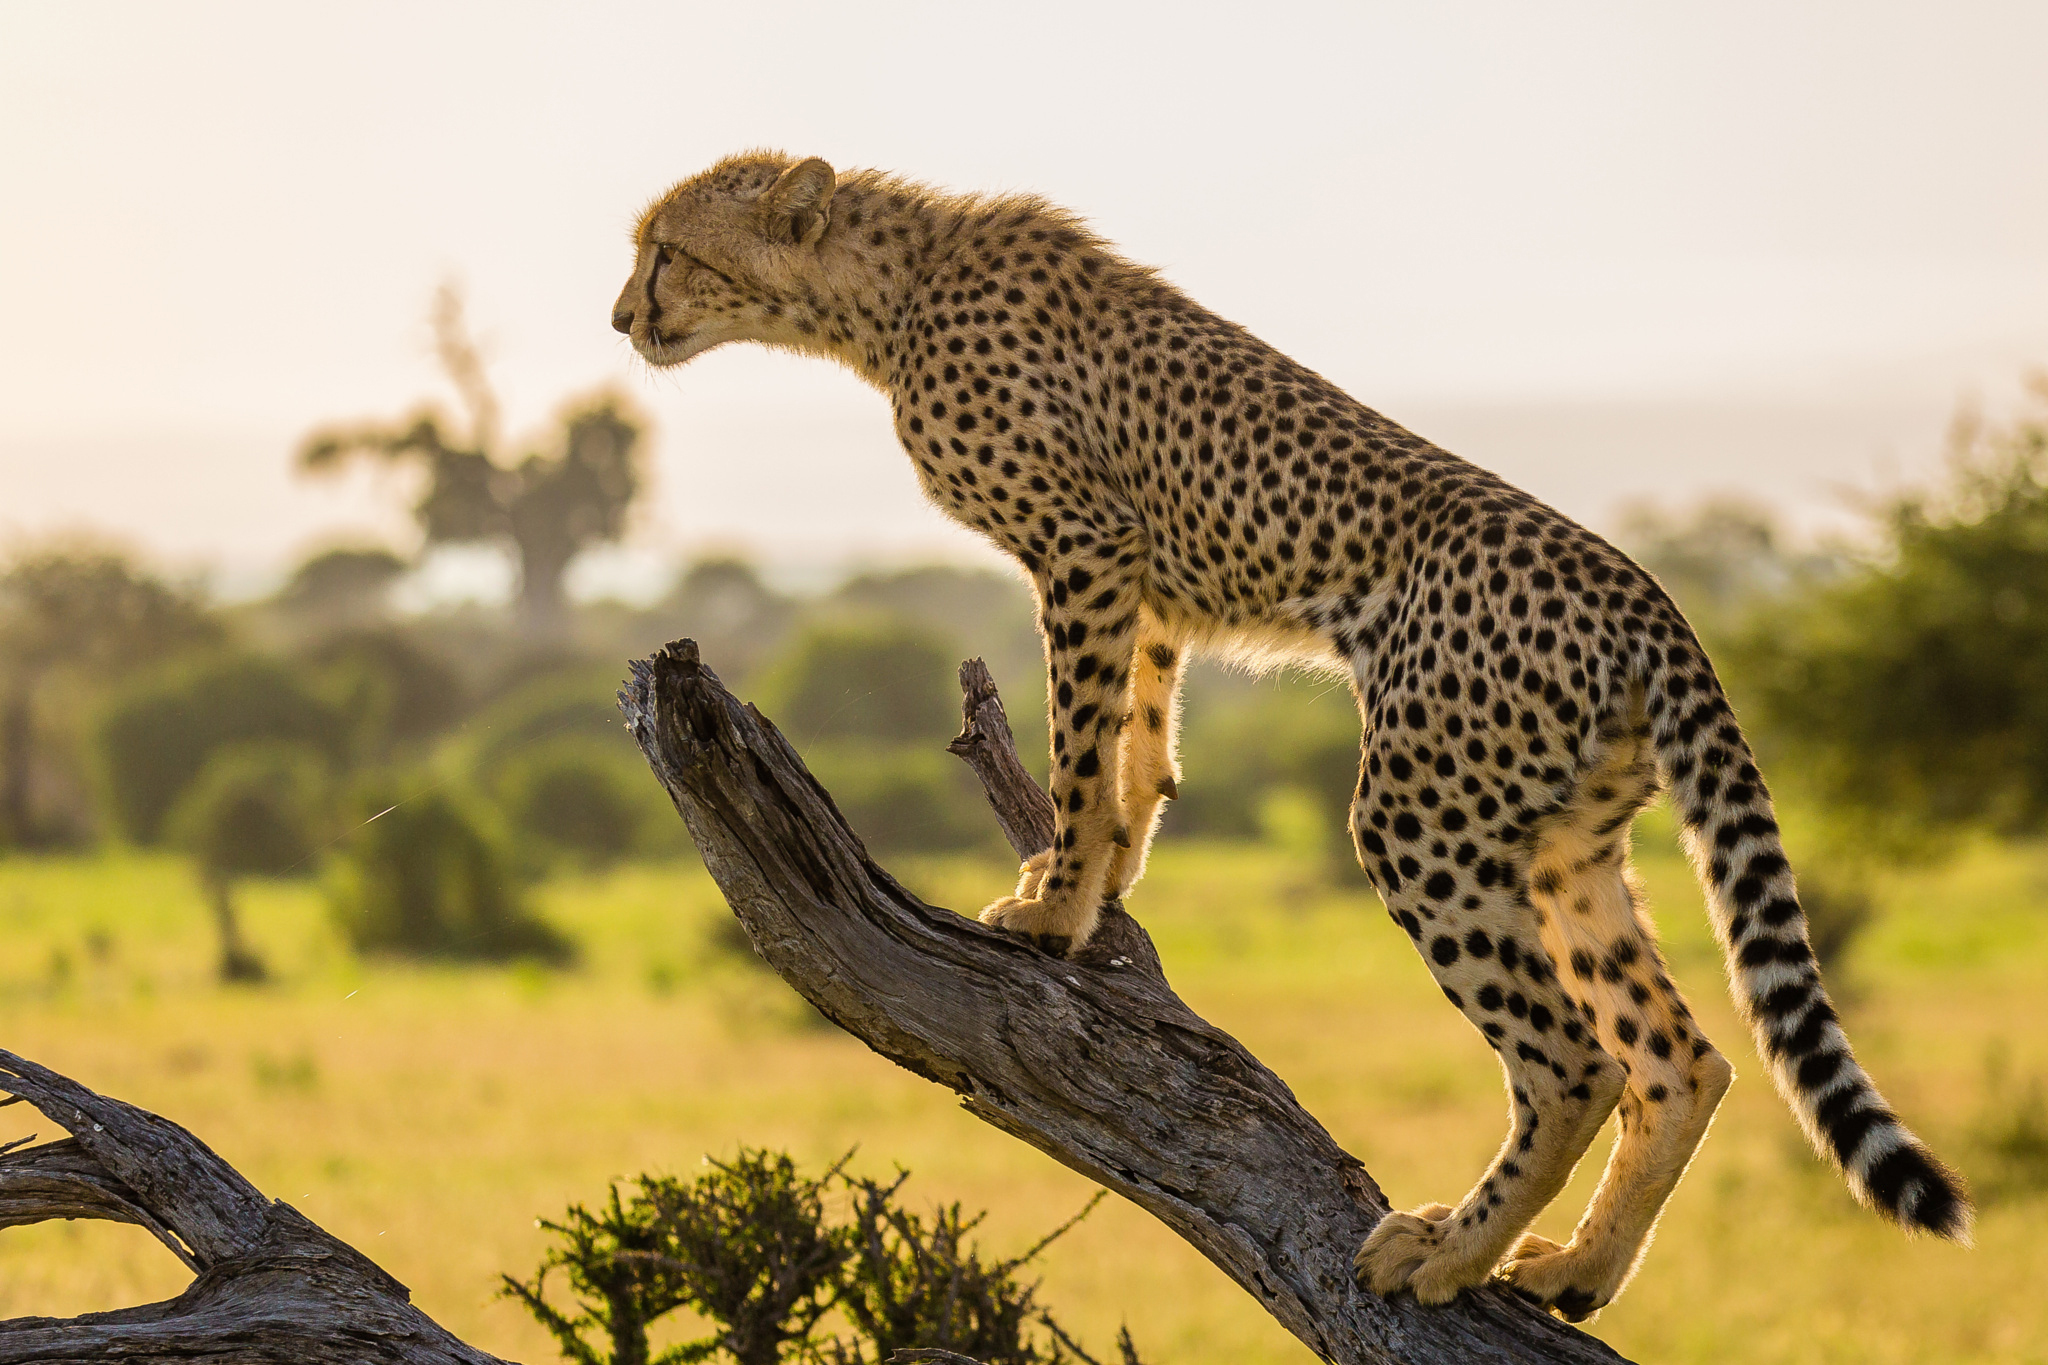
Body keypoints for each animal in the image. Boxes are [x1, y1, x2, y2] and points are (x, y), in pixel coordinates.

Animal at [610, 154, 1966, 1317]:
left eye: (668, 250)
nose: (621, 316)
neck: (881, 293)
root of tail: (1651, 600)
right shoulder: (1143, 581)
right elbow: (1137, 747)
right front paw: (1098, 885)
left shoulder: (1086, 546)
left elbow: (1078, 744)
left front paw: (1052, 908)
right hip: (1564, 844)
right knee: (1682, 1059)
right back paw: (1574, 1270)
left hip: (1421, 817)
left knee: (1574, 1060)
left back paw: (1446, 1253)